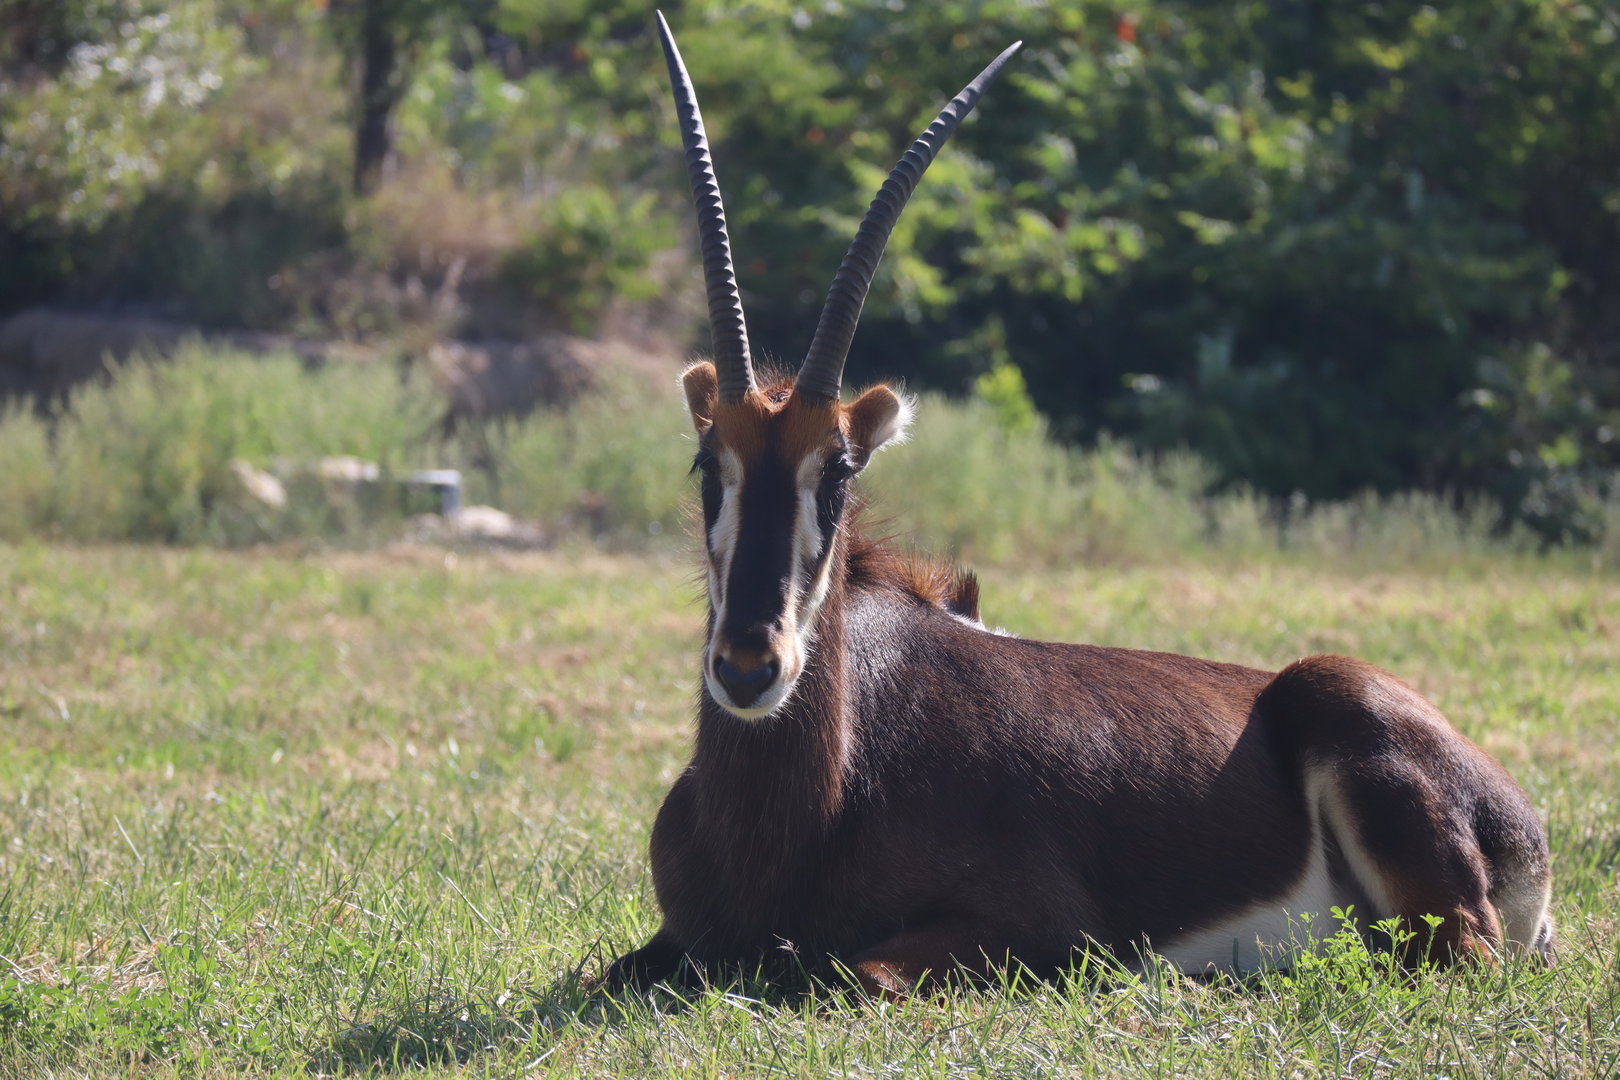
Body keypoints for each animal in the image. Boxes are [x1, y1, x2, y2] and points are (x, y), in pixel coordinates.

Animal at [606, 13, 1555, 999]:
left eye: (837, 473)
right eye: (707, 465)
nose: (751, 667)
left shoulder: (1044, 931)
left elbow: (857, 972)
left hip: (1379, 786)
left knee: (1453, 954)